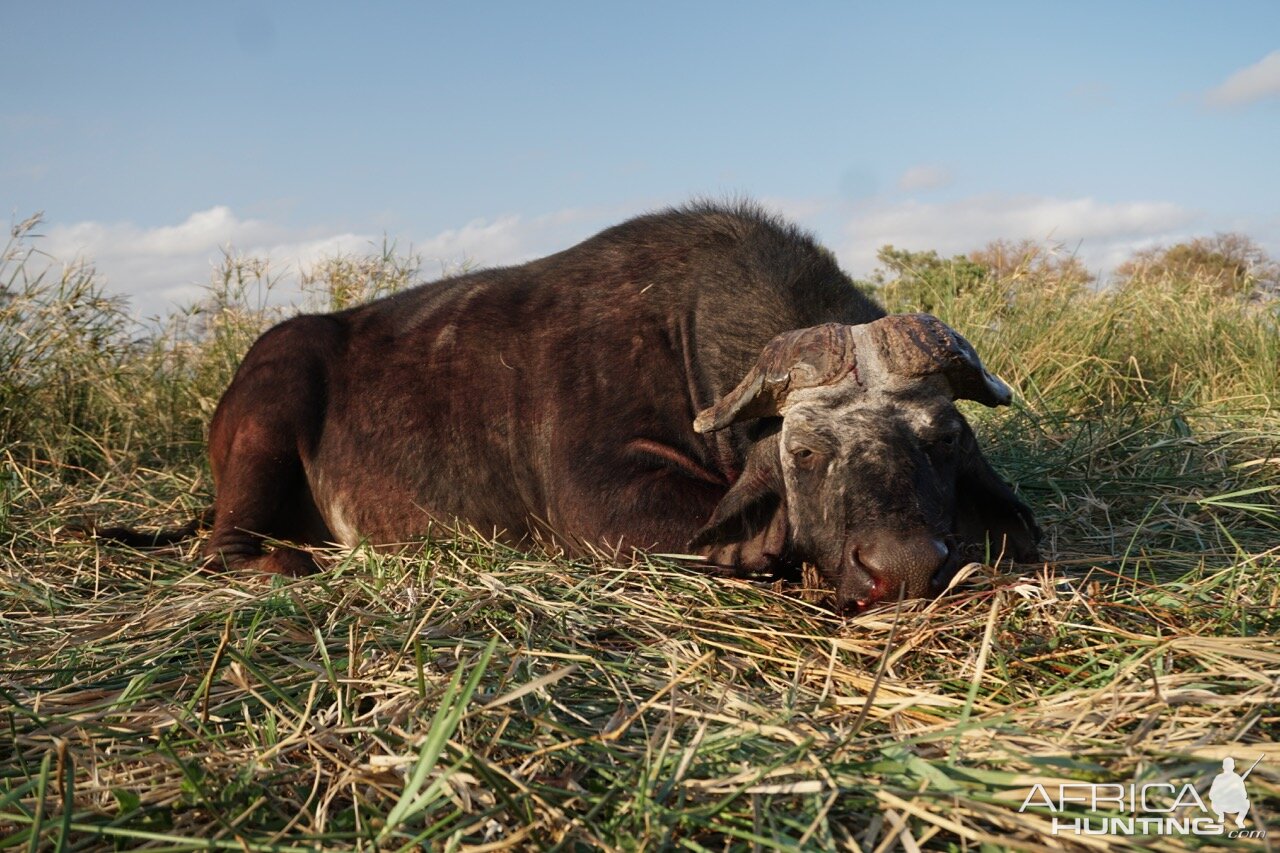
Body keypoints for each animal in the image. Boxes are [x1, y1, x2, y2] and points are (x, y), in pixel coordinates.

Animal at [165, 203, 1044, 607]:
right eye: (804, 452)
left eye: (944, 438)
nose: (902, 567)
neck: (679, 333)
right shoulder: (607, 506)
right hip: (270, 412)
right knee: (219, 550)